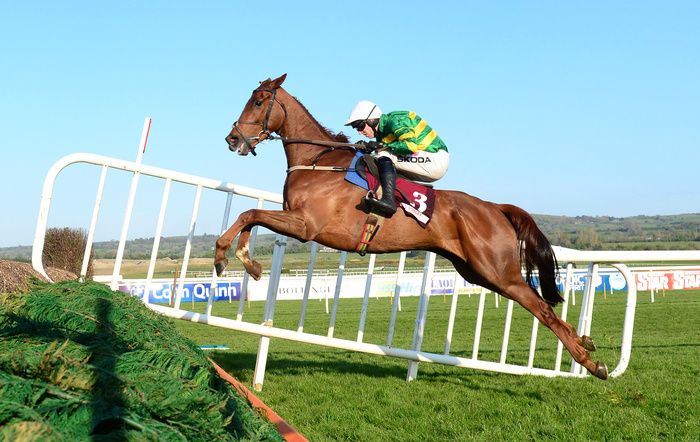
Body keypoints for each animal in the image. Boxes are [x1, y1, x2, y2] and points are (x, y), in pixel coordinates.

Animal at [215, 74, 608, 378]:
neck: (318, 161)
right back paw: (585, 343)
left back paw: (590, 361)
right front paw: (247, 262)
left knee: (542, 308)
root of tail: (494, 207)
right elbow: (250, 218)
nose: (232, 139)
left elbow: (249, 214)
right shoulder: (298, 223)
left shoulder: (307, 226)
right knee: (540, 304)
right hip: (476, 271)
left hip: (498, 271)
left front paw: (223, 256)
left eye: (258, 101)